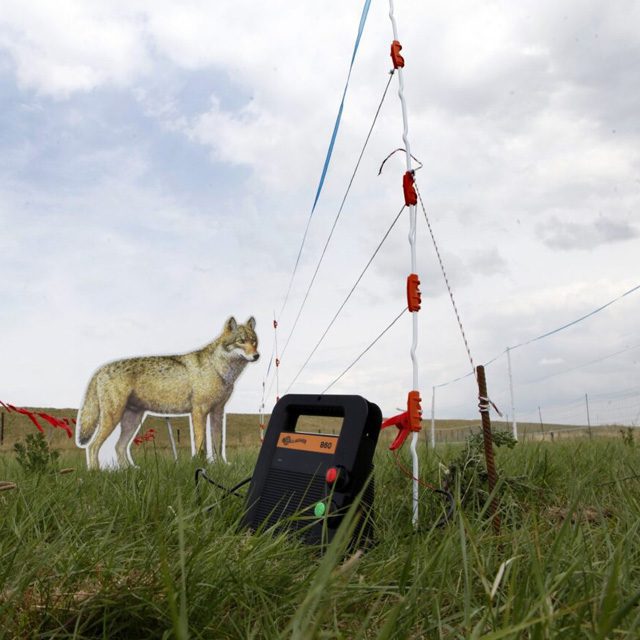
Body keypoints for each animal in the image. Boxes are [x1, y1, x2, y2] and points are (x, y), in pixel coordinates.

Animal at [76, 316, 259, 469]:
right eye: (241, 341)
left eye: (254, 342)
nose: (257, 356)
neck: (219, 369)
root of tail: (101, 369)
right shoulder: (199, 412)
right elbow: (201, 444)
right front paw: (202, 465)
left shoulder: (218, 412)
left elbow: (218, 443)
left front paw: (221, 465)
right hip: (113, 419)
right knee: (93, 446)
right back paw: (96, 472)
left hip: (132, 421)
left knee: (119, 446)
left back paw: (129, 471)